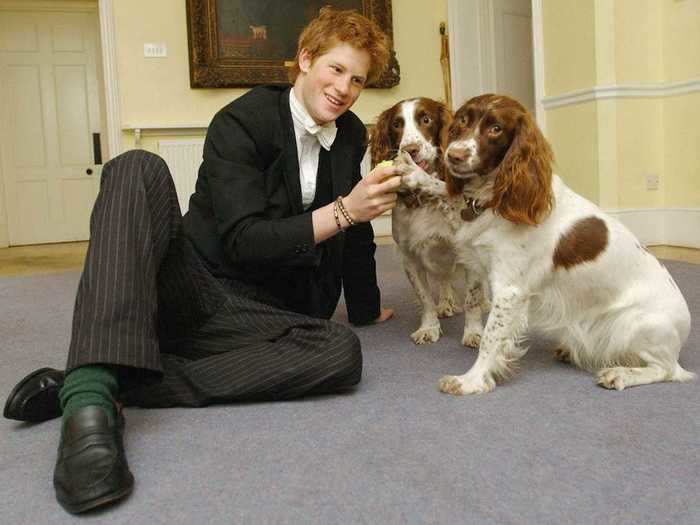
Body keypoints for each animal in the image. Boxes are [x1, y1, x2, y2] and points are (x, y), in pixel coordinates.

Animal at [372, 96, 486, 346]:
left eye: (426, 119)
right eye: (396, 124)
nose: (410, 150)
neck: (425, 199)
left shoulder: (469, 254)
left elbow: (472, 299)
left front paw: (474, 333)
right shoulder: (410, 257)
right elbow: (424, 297)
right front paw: (429, 327)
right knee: (444, 279)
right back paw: (445, 303)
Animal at [400, 92, 696, 390]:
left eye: (496, 129)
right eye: (462, 120)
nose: (454, 155)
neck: (499, 196)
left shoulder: (509, 289)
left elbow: (490, 338)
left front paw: (471, 380)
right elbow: (447, 191)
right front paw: (416, 175)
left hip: (637, 326)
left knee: (666, 370)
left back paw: (620, 374)